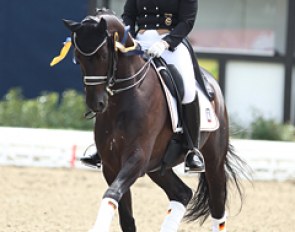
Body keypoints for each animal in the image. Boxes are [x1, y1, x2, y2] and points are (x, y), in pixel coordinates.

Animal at [62, 8, 250, 232]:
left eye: (103, 55)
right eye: (77, 57)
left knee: (217, 204)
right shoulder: (111, 164)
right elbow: (125, 216)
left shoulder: (137, 157)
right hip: (157, 166)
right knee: (182, 193)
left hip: (213, 161)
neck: (127, 97)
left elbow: (112, 193)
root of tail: (211, 81)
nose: (96, 103)